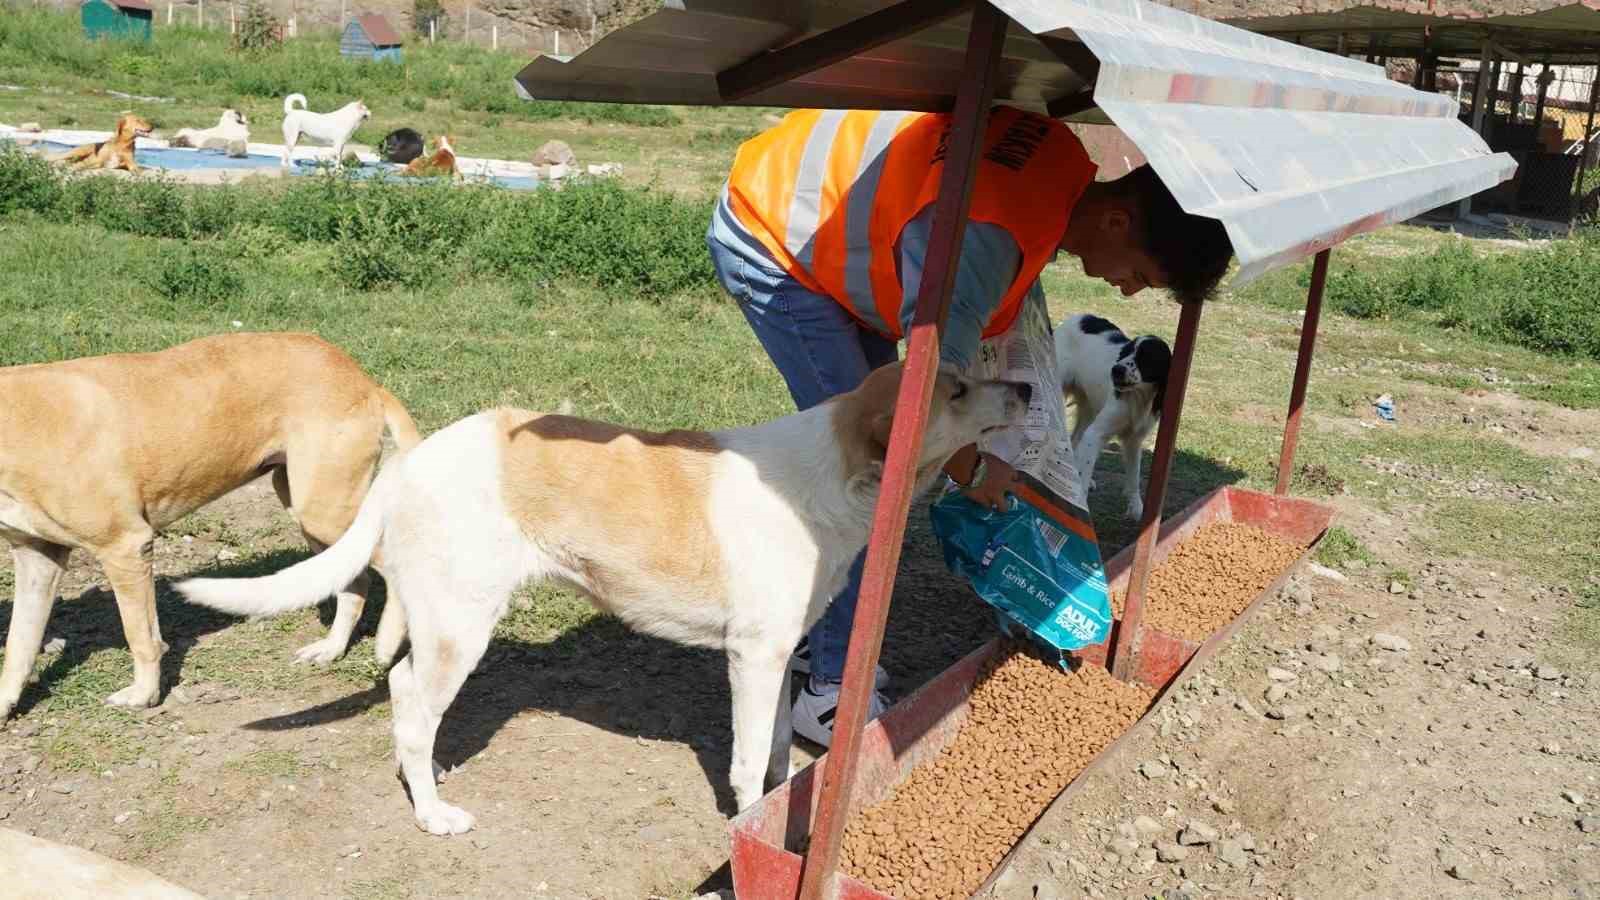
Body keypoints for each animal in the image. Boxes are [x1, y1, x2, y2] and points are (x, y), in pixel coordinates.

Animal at [0, 329, 419, 714]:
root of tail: (362, 378)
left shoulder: (126, 546)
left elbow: (141, 636)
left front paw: (144, 695)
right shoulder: (37, 558)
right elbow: (19, 645)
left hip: (324, 510)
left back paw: (387, 641)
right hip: (307, 508)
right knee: (354, 579)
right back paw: (331, 649)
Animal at [181, 360, 1030, 832]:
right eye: (957, 390)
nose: (1024, 385)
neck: (835, 477)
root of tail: (413, 461)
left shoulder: (781, 657)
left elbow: (778, 755)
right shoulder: (753, 659)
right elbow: (748, 761)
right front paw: (745, 822)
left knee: (399, 691)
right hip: (461, 628)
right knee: (414, 710)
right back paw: (431, 815)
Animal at [1049, 312, 1177, 518]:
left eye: (1146, 357)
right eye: (1127, 352)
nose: (1116, 370)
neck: (1138, 397)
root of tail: (1079, 315)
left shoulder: (1134, 440)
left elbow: (1134, 477)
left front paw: (1136, 508)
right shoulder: (1096, 433)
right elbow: (1087, 467)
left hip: (1090, 407)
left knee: (1076, 438)